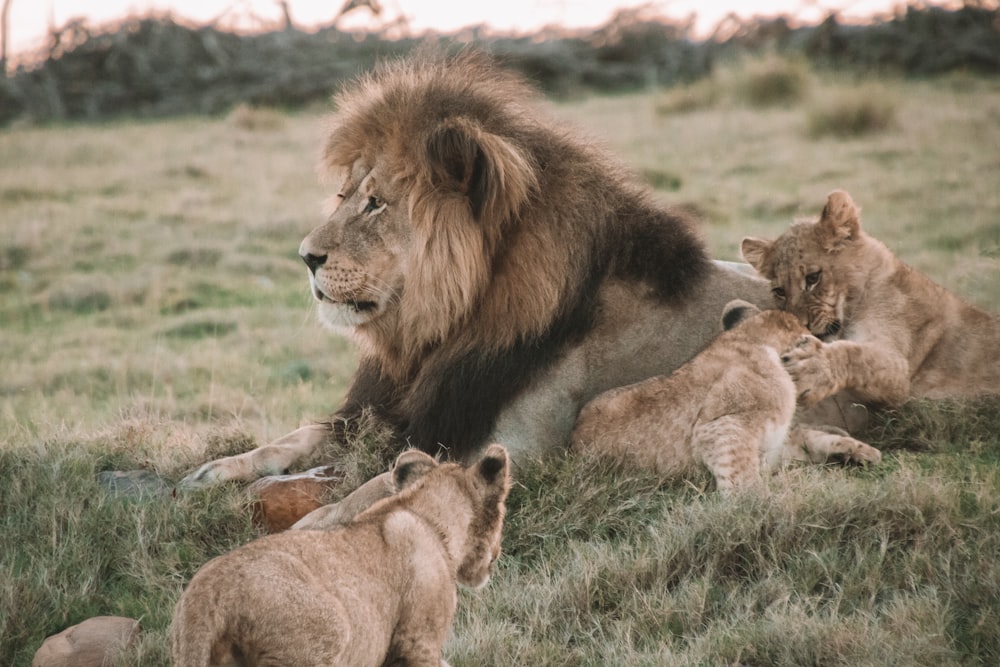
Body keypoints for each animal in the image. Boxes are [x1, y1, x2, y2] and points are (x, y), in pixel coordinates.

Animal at [576, 300, 880, 494]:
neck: (750, 338)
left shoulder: (774, 445)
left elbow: (813, 439)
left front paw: (861, 451)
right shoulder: (721, 426)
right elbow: (741, 476)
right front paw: (755, 510)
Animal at [744, 189, 1000, 408]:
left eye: (813, 278)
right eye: (780, 291)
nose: (799, 324)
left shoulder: (902, 372)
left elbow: (857, 355)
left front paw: (813, 366)